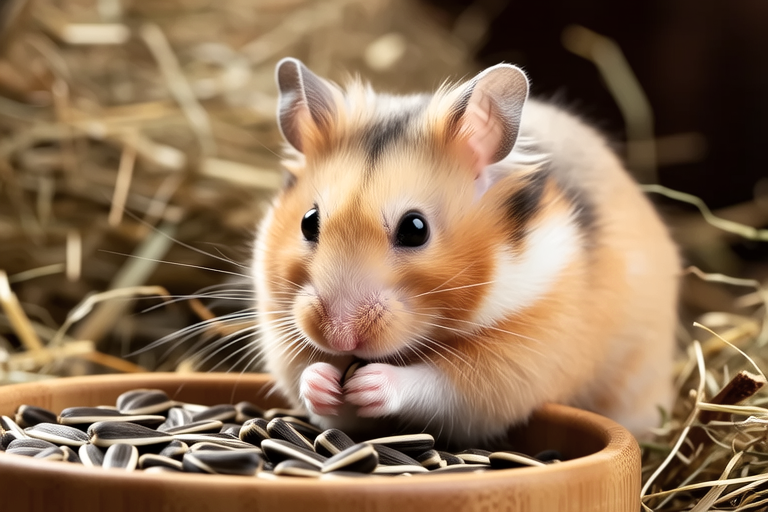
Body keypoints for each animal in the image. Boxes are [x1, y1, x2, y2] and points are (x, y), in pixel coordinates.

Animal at [252, 57, 679, 445]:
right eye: (308, 222)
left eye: (415, 229)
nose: (339, 338)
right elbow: (311, 384)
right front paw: (323, 381)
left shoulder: (520, 356)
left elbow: (443, 384)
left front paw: (370, 383)